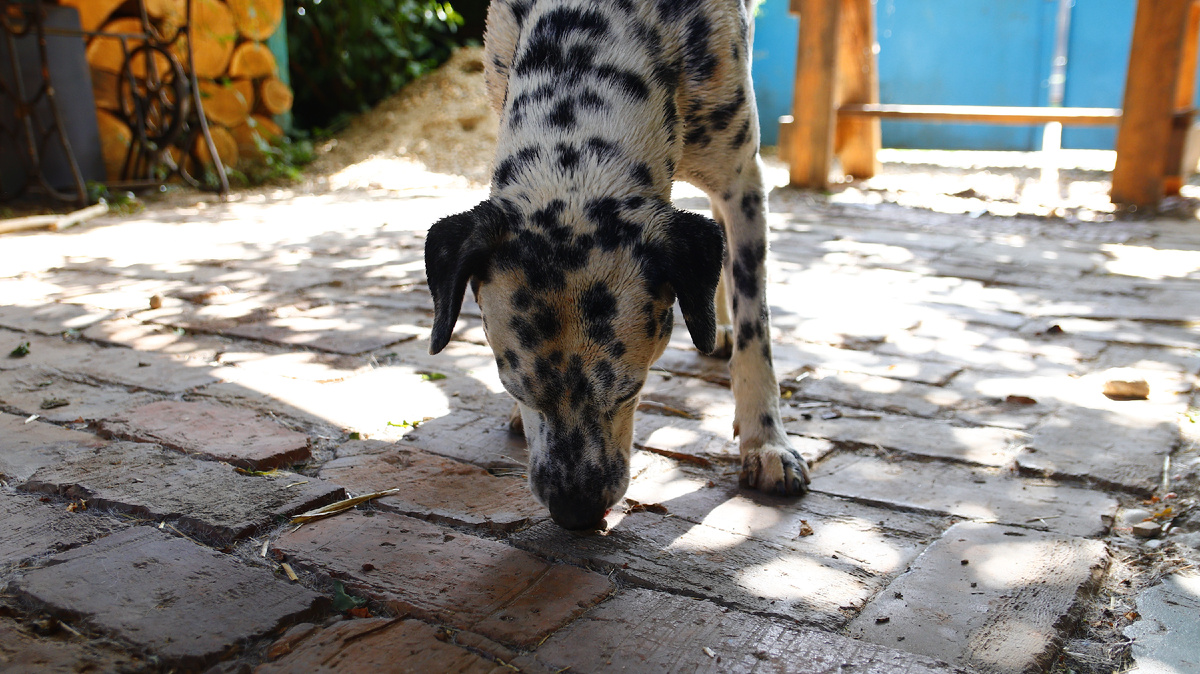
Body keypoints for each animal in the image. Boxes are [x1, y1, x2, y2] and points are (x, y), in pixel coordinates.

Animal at [422, 0, 806, 527]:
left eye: (630, 389)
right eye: (514, 386)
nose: (576, 511)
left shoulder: (743, 180)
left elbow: (756, 328)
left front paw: (766, 443)